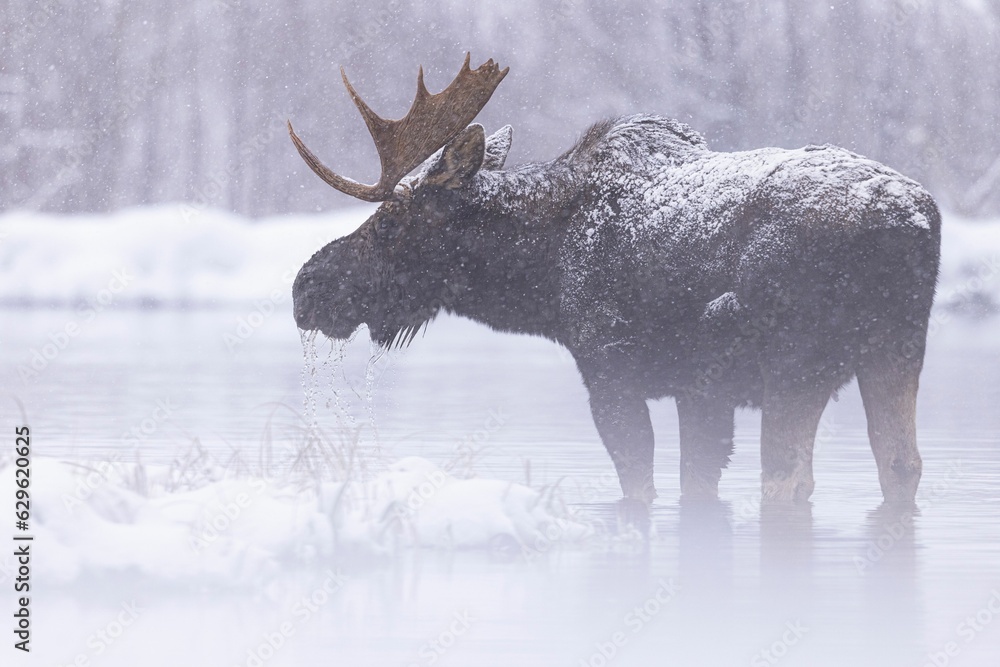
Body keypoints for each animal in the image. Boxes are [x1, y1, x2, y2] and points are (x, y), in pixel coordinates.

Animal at [288, 54, 941, 505]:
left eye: (392, 218)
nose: (306, 286)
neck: (544, 278)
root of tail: (908, 219)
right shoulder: (701, 393)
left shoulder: (612, 371)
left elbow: (641, 484)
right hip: (896, 350)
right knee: (900, 464)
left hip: (796, 364)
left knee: (788, 479)